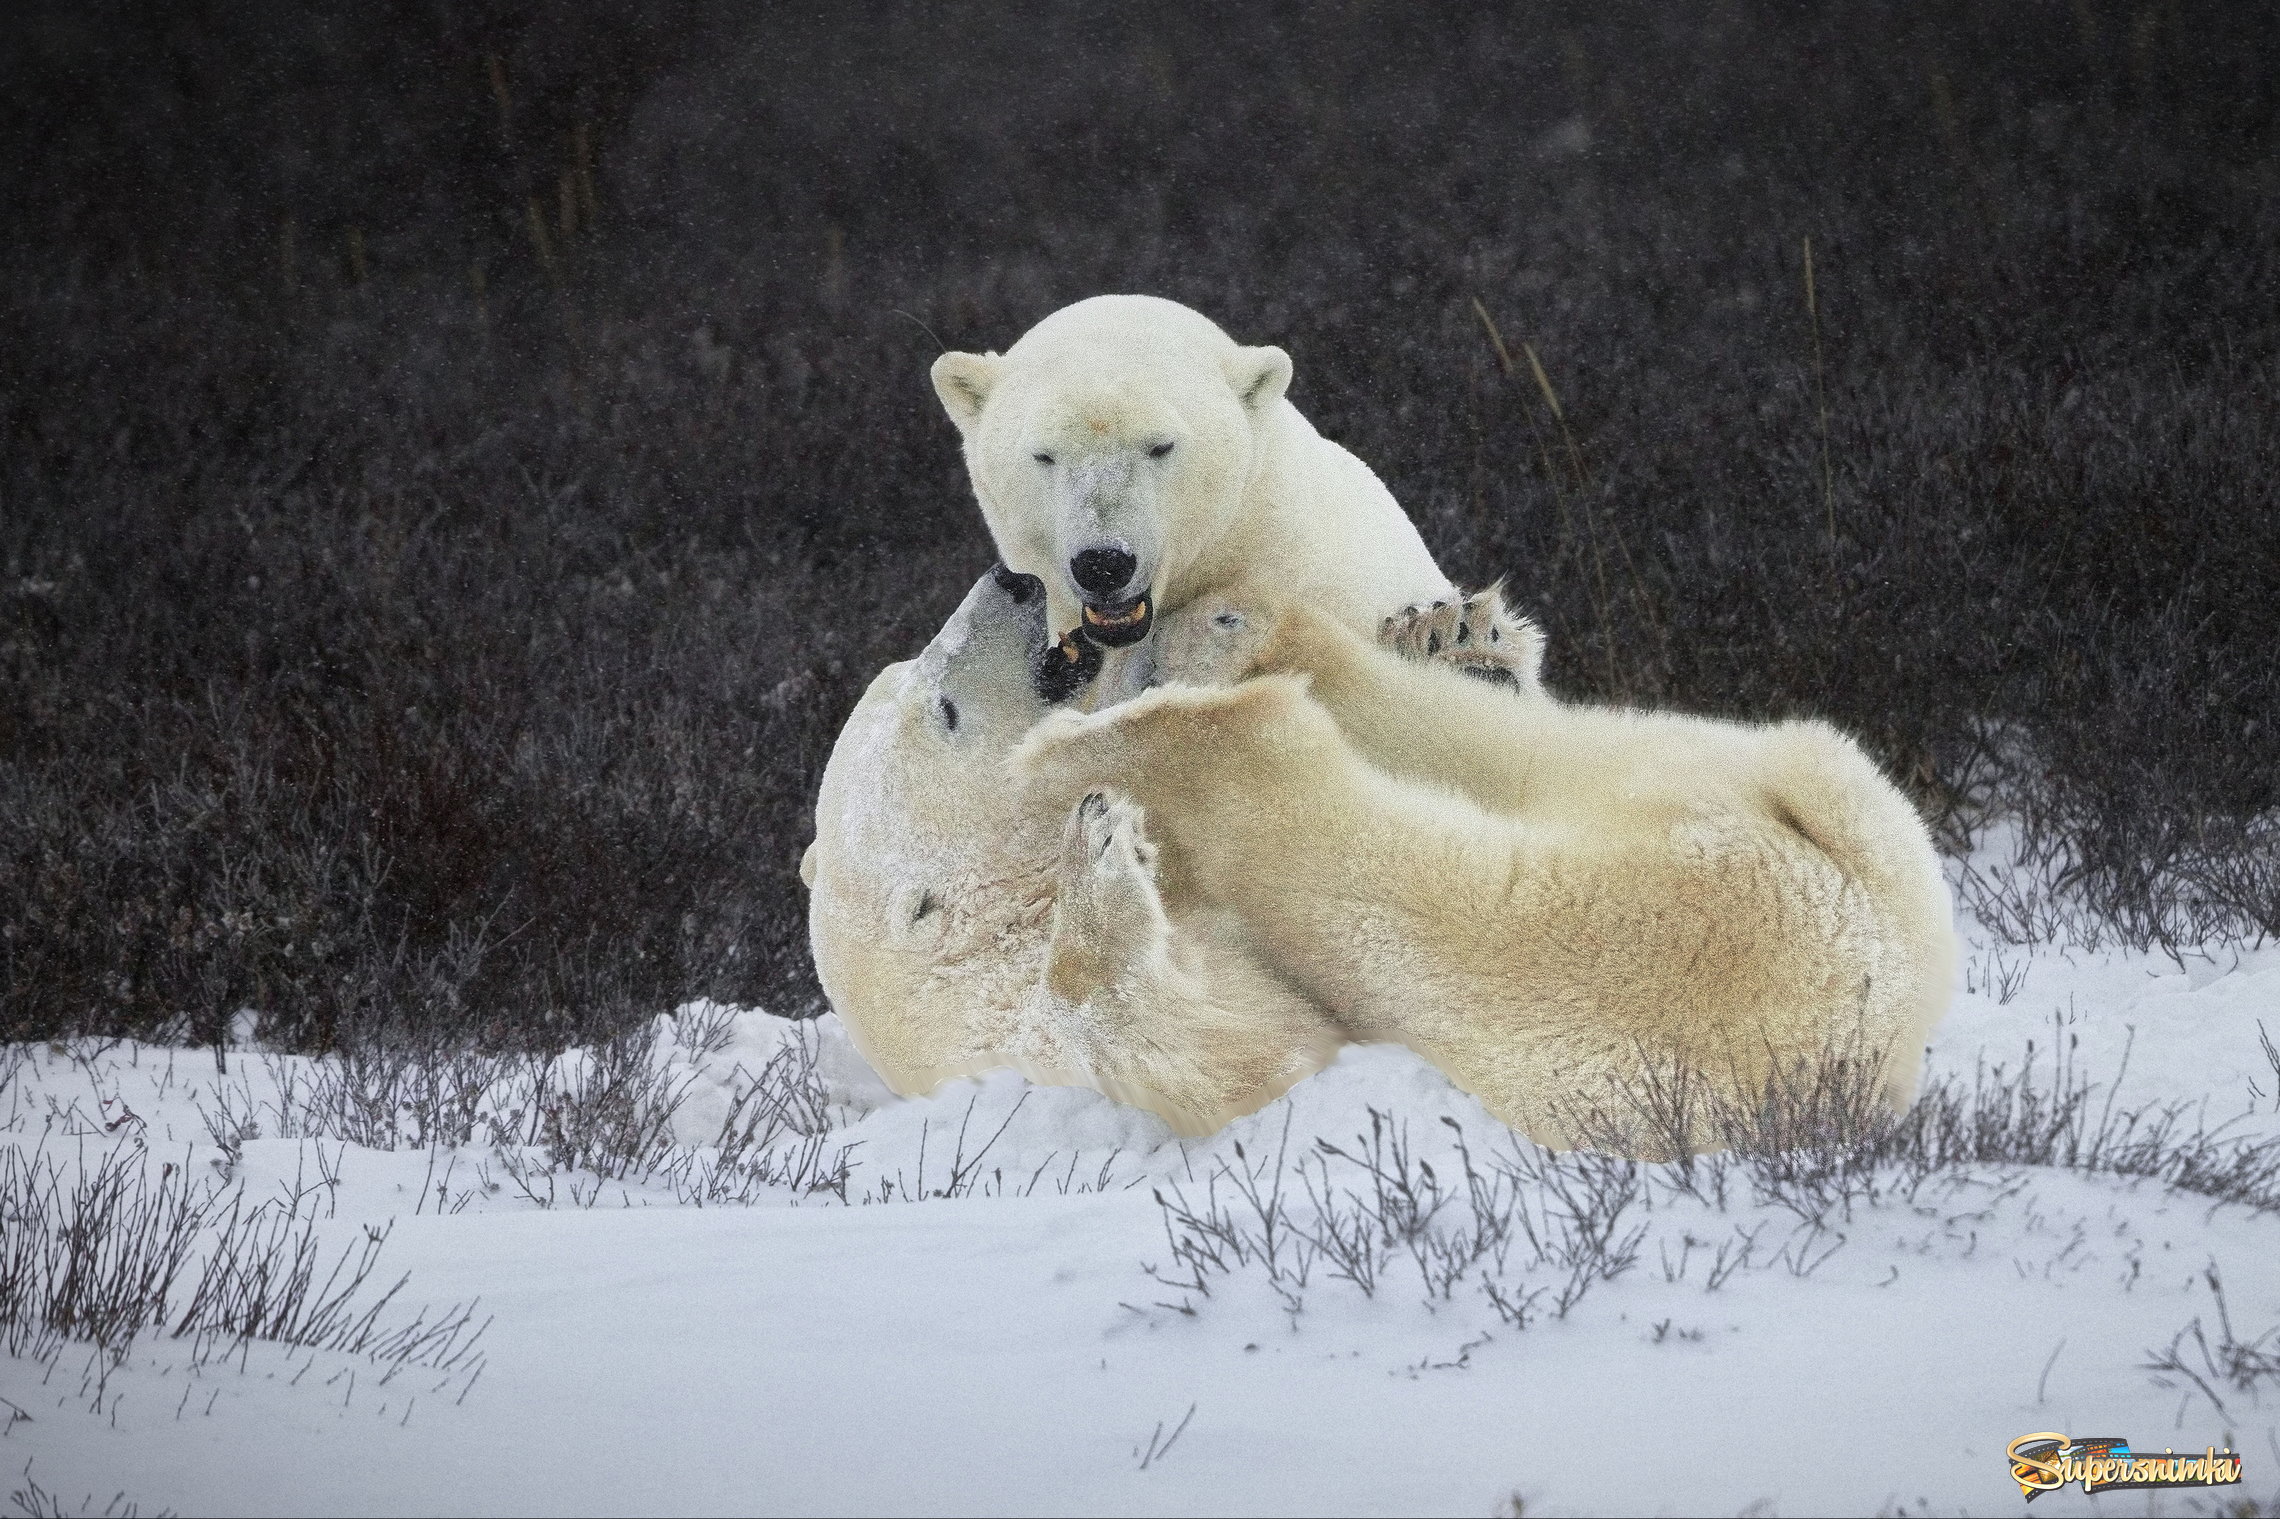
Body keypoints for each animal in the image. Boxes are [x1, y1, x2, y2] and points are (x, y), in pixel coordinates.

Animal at [802, 561, 1340, 1131]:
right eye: (946, 712)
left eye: (897, 667)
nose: (1011, 580)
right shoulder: (1027, 1046)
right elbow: (1216, 1056)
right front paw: (1100, 854)